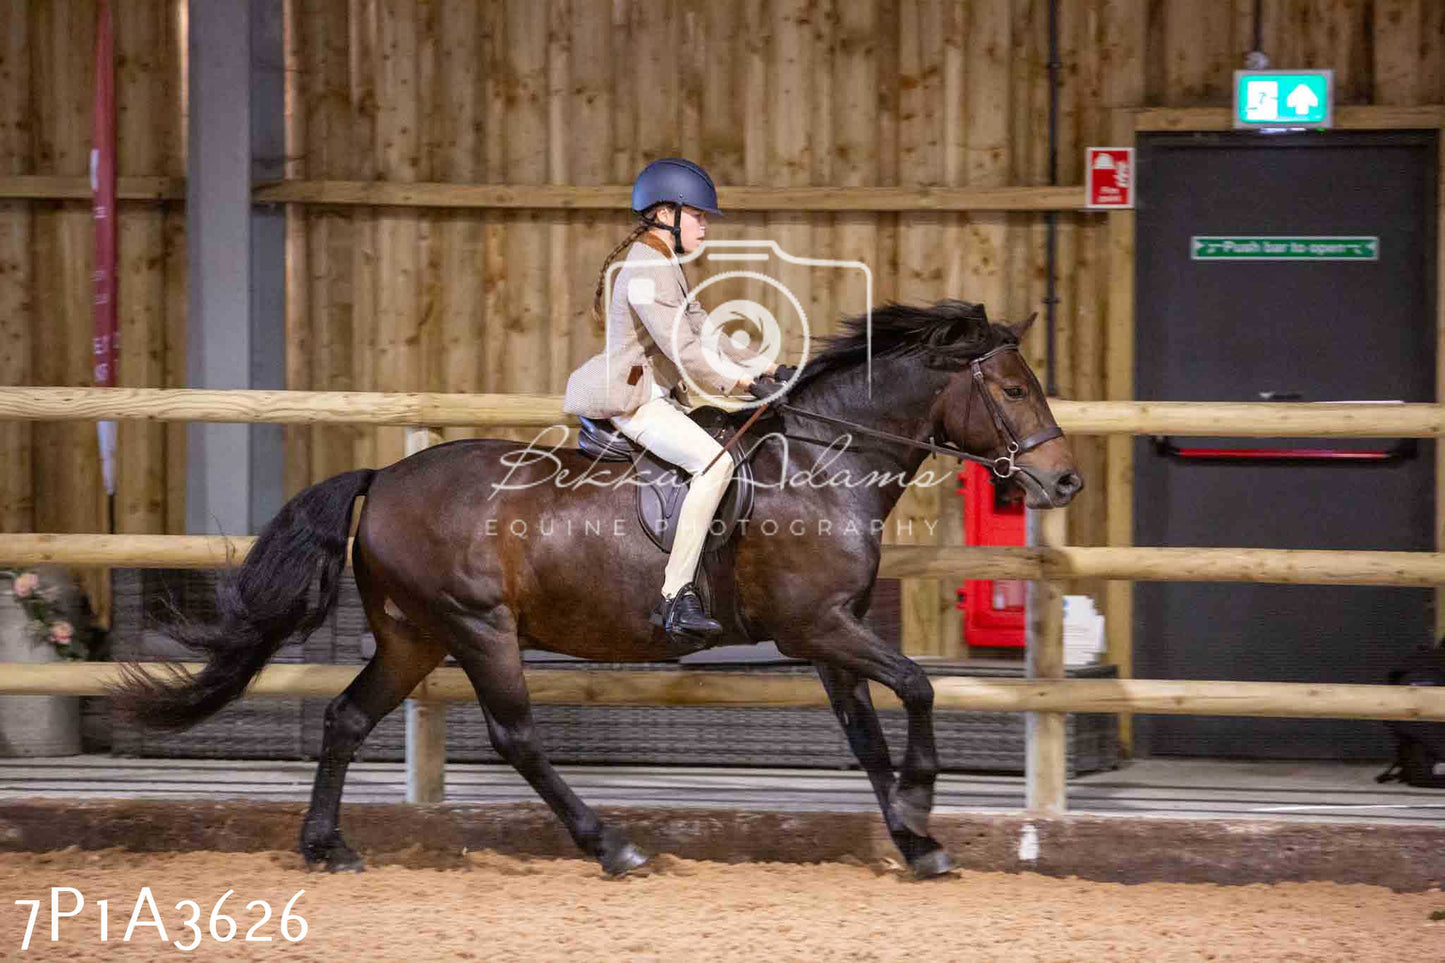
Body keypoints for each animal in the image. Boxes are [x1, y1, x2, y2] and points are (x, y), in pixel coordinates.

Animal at [115, 300, 1086, 879]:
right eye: (1010, 387)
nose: (1065, 481)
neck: (820, 464)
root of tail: (383, 476)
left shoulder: (829, 635)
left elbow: (866, 736)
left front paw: (916, 840)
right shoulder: (815, 626)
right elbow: (917, 688)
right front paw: (922, 804)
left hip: (414, 634)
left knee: (346, 717)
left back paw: (327, 845)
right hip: (479, 627)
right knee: (515, 737)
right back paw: (613, 844)